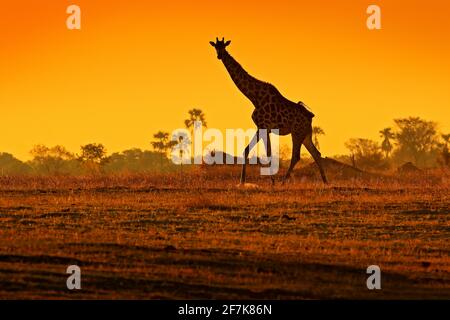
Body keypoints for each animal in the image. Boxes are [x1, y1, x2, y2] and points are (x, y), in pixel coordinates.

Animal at [211, 37, 326, 184]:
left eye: (224, 47)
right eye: (215, 47)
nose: (219, 56)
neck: (254, 97)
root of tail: (310, 116)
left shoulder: (265, 127)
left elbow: (269, 154)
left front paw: (272, 182)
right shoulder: (261, 127)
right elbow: (246, 150)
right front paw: (242, 181)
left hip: (297, 133)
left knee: (296, 156)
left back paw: (283, 182)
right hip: (306, 134)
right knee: (316, 153)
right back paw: (325, 181)